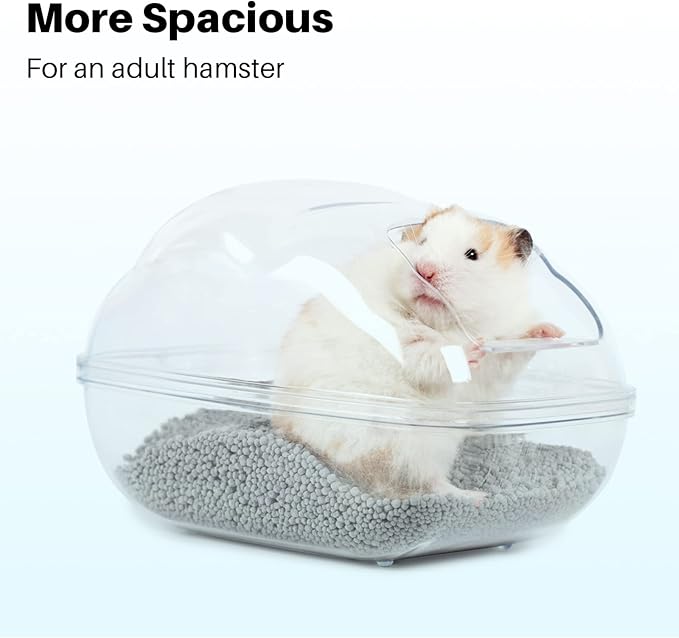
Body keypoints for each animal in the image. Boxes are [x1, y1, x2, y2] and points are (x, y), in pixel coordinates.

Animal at [273, 205, 564, 502]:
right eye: (422, 242)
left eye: (472, 254)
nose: (425, 271)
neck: (444, 324)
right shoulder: (405, 343)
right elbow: (432, 358)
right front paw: (472, 348)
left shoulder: (497, 362)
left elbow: (509, 353)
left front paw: (551, 332)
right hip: (404, 443)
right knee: (427, 482)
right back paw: (476, 497)